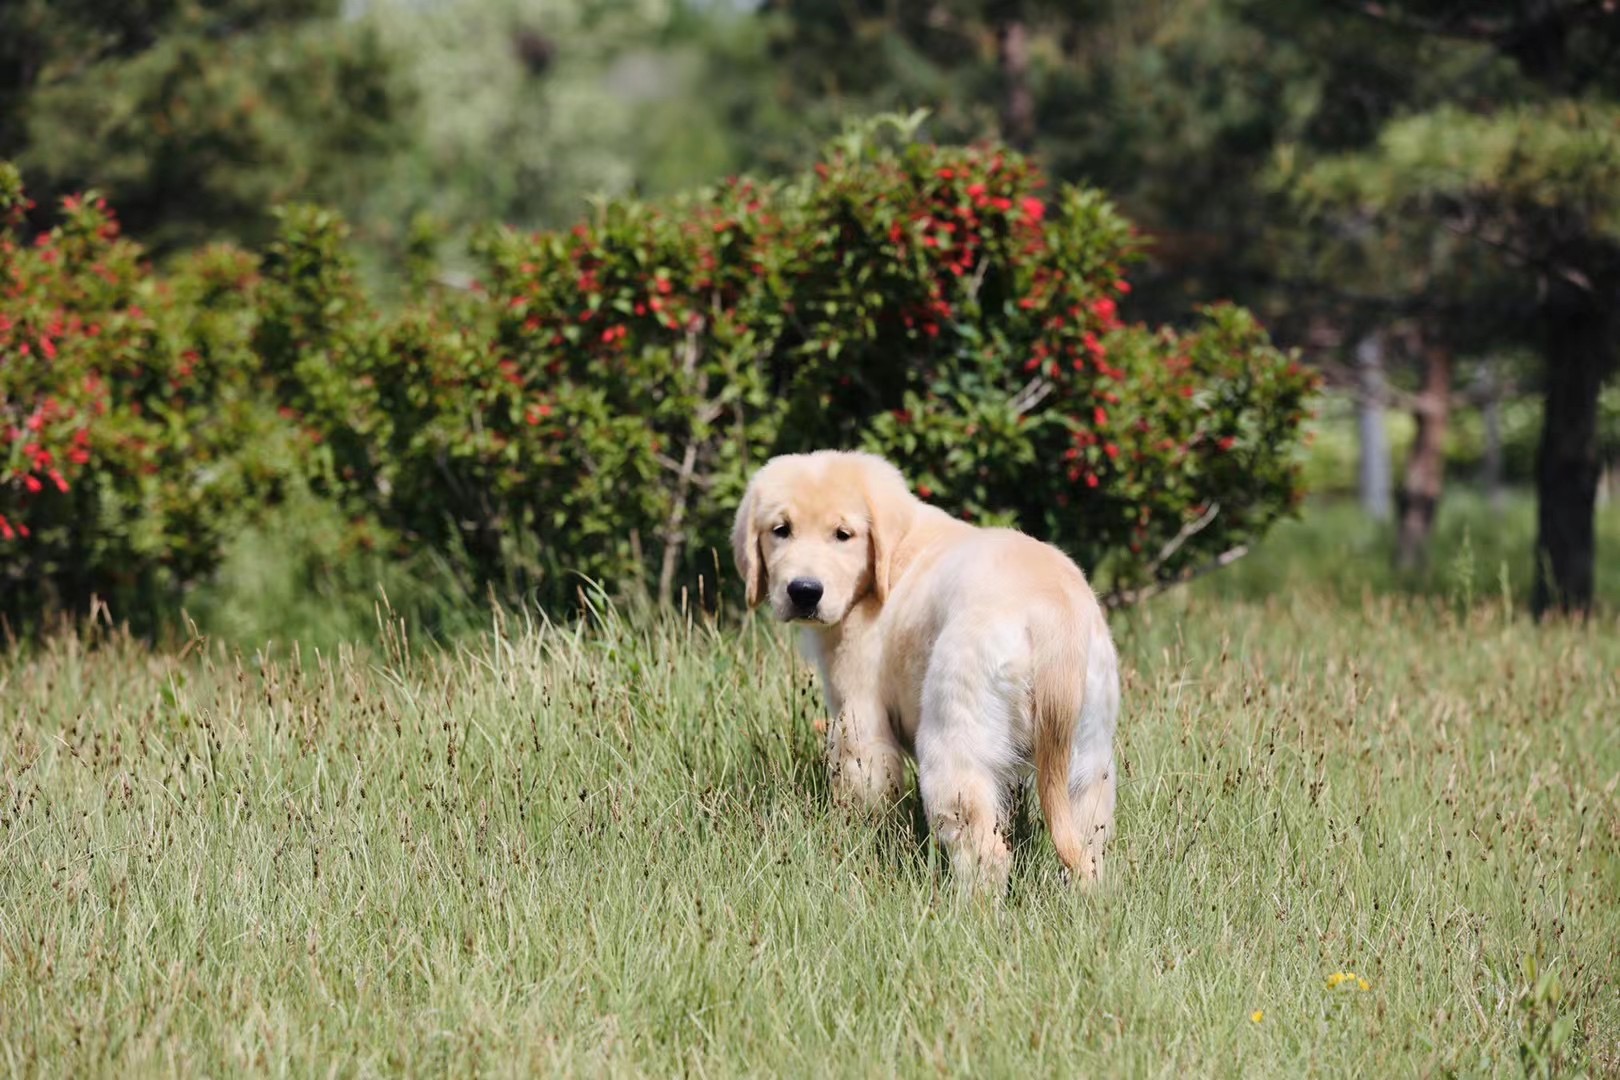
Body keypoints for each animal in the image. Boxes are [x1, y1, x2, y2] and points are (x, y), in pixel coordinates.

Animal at [732, 450, 1121, 893]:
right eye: (780, 530)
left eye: (843, 535)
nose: (804, 591)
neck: (887, 566)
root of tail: (1052, 610)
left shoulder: (861, 712)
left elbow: (865, 790)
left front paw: (854, 840)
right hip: (1088, 748)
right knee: (1089, 844)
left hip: (956, 735)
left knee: (984, 849)